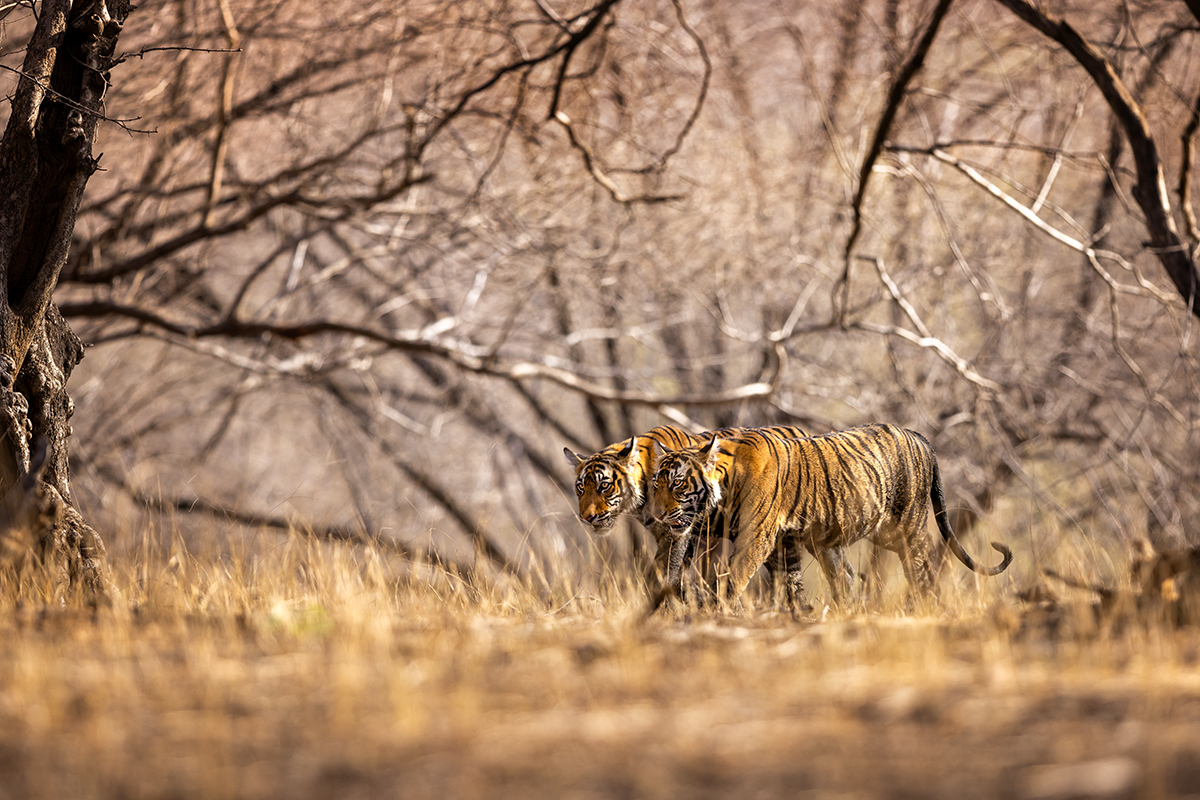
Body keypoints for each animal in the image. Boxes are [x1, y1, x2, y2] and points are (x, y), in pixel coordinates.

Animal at [648, 424, 1012, 606]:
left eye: (678, 483)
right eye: (655, 482)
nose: (658, 514)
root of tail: (921, 437)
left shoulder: (756, 539)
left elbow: (733, 578)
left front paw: (714, 608)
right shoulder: (772, 540)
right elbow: (789, 581)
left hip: (905, 528)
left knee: (922, 566)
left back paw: (926, 605)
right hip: (842, 540)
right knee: (846, 577)